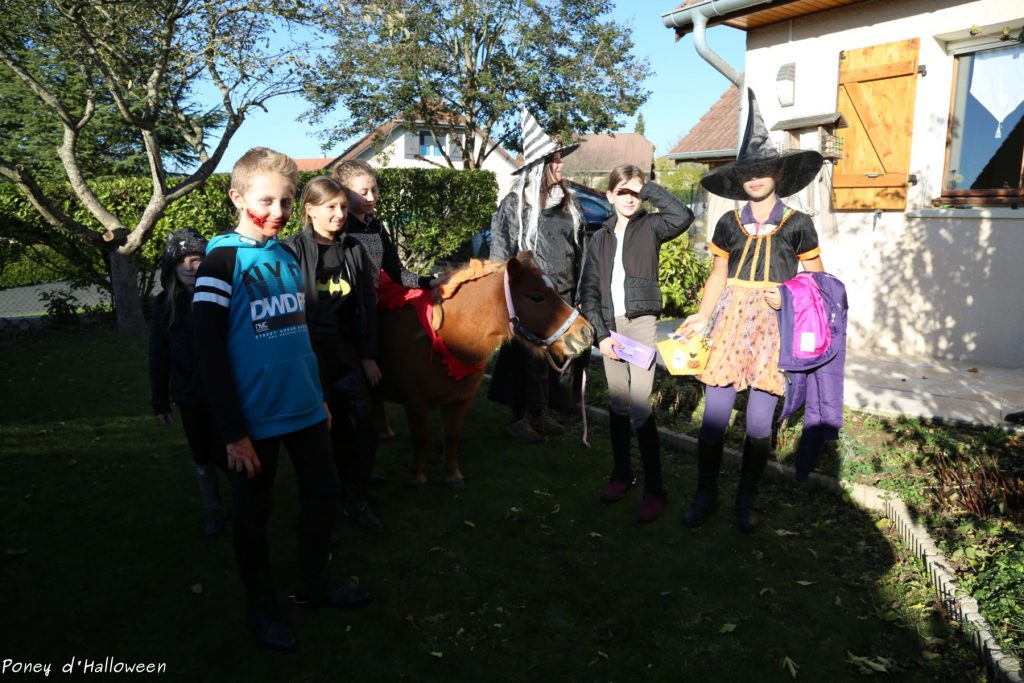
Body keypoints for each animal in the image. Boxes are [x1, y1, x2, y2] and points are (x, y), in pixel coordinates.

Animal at [375, 252, 594, 485]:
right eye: (537, 297)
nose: (586, 332)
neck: (443, 335)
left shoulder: (461, 399)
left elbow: (452, 436)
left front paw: (452, 475)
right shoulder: (416, 402)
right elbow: (421, 437)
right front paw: (417, 476)